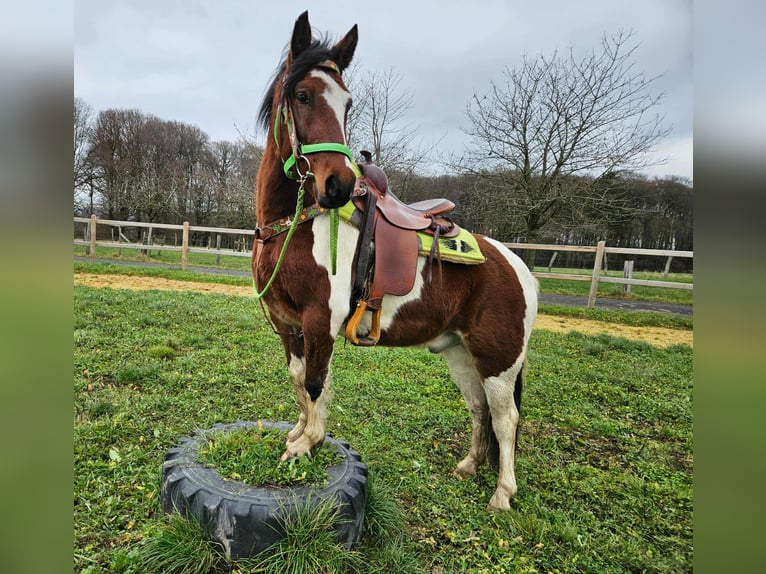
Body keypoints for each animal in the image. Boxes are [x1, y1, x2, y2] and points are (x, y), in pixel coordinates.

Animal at [252, 11, 538, 511]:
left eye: (347, 105)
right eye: (302, 95)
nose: (338, 185)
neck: (294, 224)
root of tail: (517, 267)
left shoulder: (319, 320)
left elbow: (316, 383)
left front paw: (307, 443)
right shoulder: (287, 323)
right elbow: (297, 378)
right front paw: (298, 432)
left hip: (498, 362)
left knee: (506, 418)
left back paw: (502, 493)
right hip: (461, 354)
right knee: (479, 408)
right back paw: (469, 466)